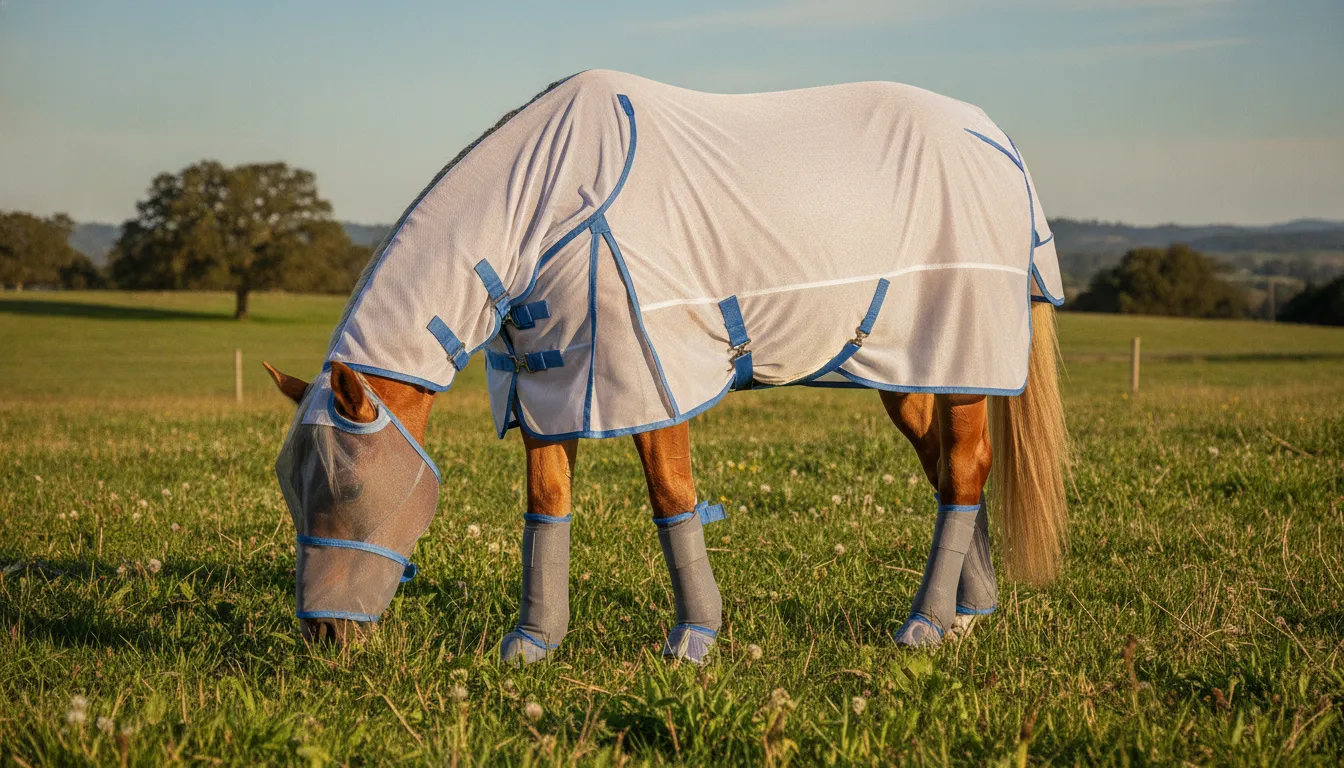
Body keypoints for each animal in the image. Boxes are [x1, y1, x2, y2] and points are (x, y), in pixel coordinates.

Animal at [266, 70, 1068, 664]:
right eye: (288, 487)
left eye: (346, 485)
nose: (324, 636)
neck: (554, 205)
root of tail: (995, 140)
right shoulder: (549, 388)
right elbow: (546, 505)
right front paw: (533, 644)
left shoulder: (649, 379)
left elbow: (671, 499)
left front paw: (693, 641)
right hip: (908, 372)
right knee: (948, 471)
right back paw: (966, 616)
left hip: (962, 355)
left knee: (964, 465)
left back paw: (924, 627)